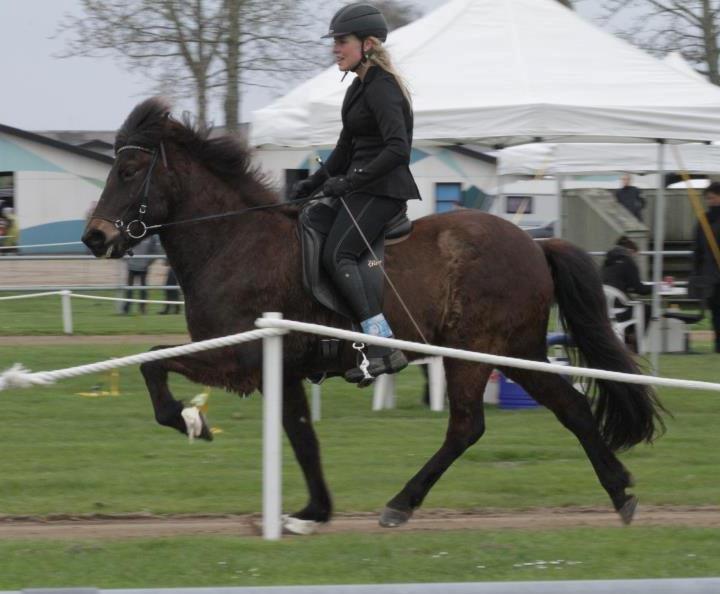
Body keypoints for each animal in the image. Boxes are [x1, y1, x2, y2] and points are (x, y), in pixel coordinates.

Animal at [83, 98, 664, 532]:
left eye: (129, 170)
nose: (95, 238)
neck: (234, 240)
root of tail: (534, 243)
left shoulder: (240, 358)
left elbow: (153, 362)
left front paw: (191, 420)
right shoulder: (281, 370)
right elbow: (302, 436)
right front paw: (313, 512)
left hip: (474, 351)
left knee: (467, 426)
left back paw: (401, 503)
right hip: (515, 352)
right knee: (571, 407)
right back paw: (620, 492)